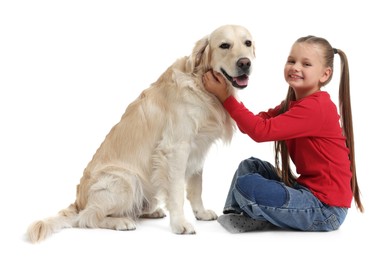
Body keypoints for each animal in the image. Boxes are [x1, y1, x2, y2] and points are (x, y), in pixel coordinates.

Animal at [26, 24, 255, 242]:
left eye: (248, 43)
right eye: (224, 45)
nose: (245, 63)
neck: (199, 84)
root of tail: (78, 201)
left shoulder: (198, 148)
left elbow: (196, 187)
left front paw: (201, 212)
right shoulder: (176, 148)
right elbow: (177, 192)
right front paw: (180, 224)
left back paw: (150, 212)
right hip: (125, 180)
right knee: (88, 217)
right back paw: (121, 221)